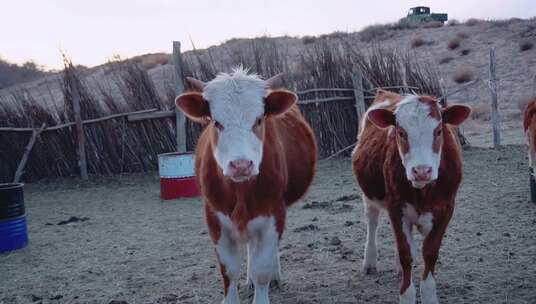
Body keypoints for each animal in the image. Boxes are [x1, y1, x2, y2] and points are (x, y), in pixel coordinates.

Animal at [176, 69, 318, 304]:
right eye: (216, 122)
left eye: (259, 120)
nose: (241, 165)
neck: (240, 192)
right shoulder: (214, 219)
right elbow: (229, 270)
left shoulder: (274, 215)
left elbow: (263, 268)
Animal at [354, 90, 472, 304]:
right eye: (401, 133)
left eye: (438, 131)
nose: (422, 171)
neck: (422, 190)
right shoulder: (395, 207)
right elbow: (405, 253)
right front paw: (407, 295)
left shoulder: (446, 208)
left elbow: (430, 252)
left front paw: (429, 295)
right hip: (369, 195)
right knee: (372, 221)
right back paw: (370, 262)